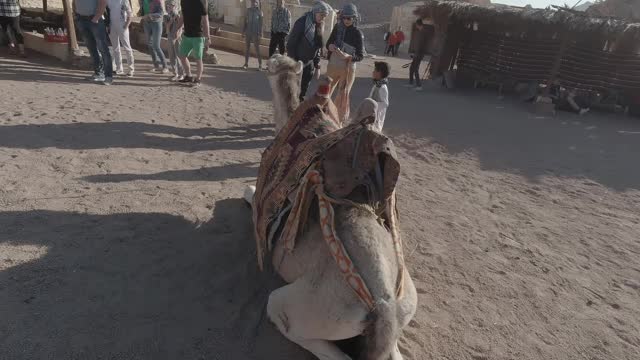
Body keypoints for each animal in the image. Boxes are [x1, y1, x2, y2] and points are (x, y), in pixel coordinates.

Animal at [246, 54, 420, 360]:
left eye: (272, 65)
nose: (269, 57)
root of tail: (384, 305)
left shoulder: (260, 208)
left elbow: (248, 194)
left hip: (304, 307)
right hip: (403, 311)